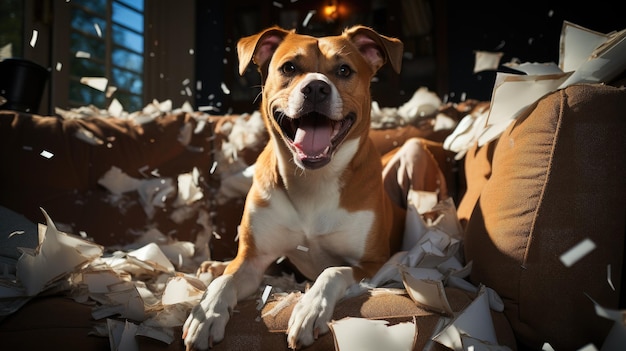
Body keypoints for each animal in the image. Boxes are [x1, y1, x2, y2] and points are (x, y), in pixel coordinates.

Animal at [180, 24, 404, 350]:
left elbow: (333, 270)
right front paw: (208, 312)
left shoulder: (373, 263)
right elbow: (226, 281)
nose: (316, 88)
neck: (313, 181)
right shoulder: (251, 259)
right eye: (289, 68)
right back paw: (212, 267)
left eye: (344, 70)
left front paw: (310, 308)